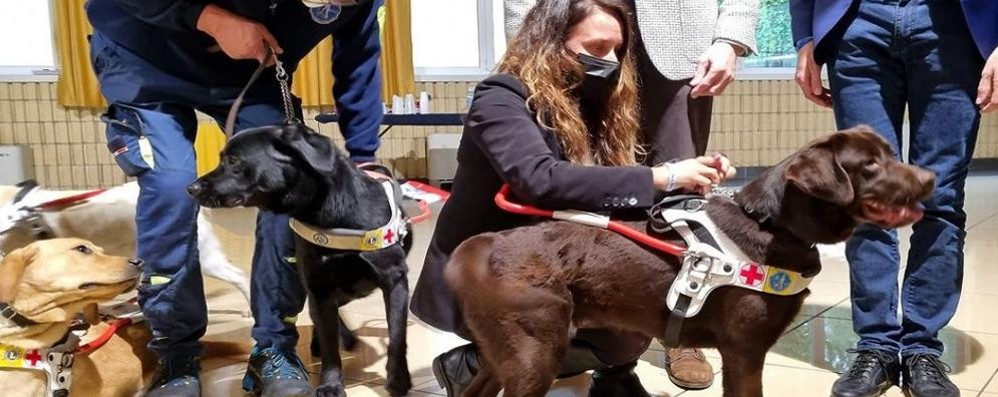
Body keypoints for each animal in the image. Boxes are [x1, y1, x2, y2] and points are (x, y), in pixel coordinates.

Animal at [189, 122, 412, 394]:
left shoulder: (395, 281)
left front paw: (398, 379)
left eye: (232, 160)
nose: (191, 189)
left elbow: (396, 334)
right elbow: (329, 345)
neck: (329, 214)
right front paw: (331, 383)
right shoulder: (319, 287)